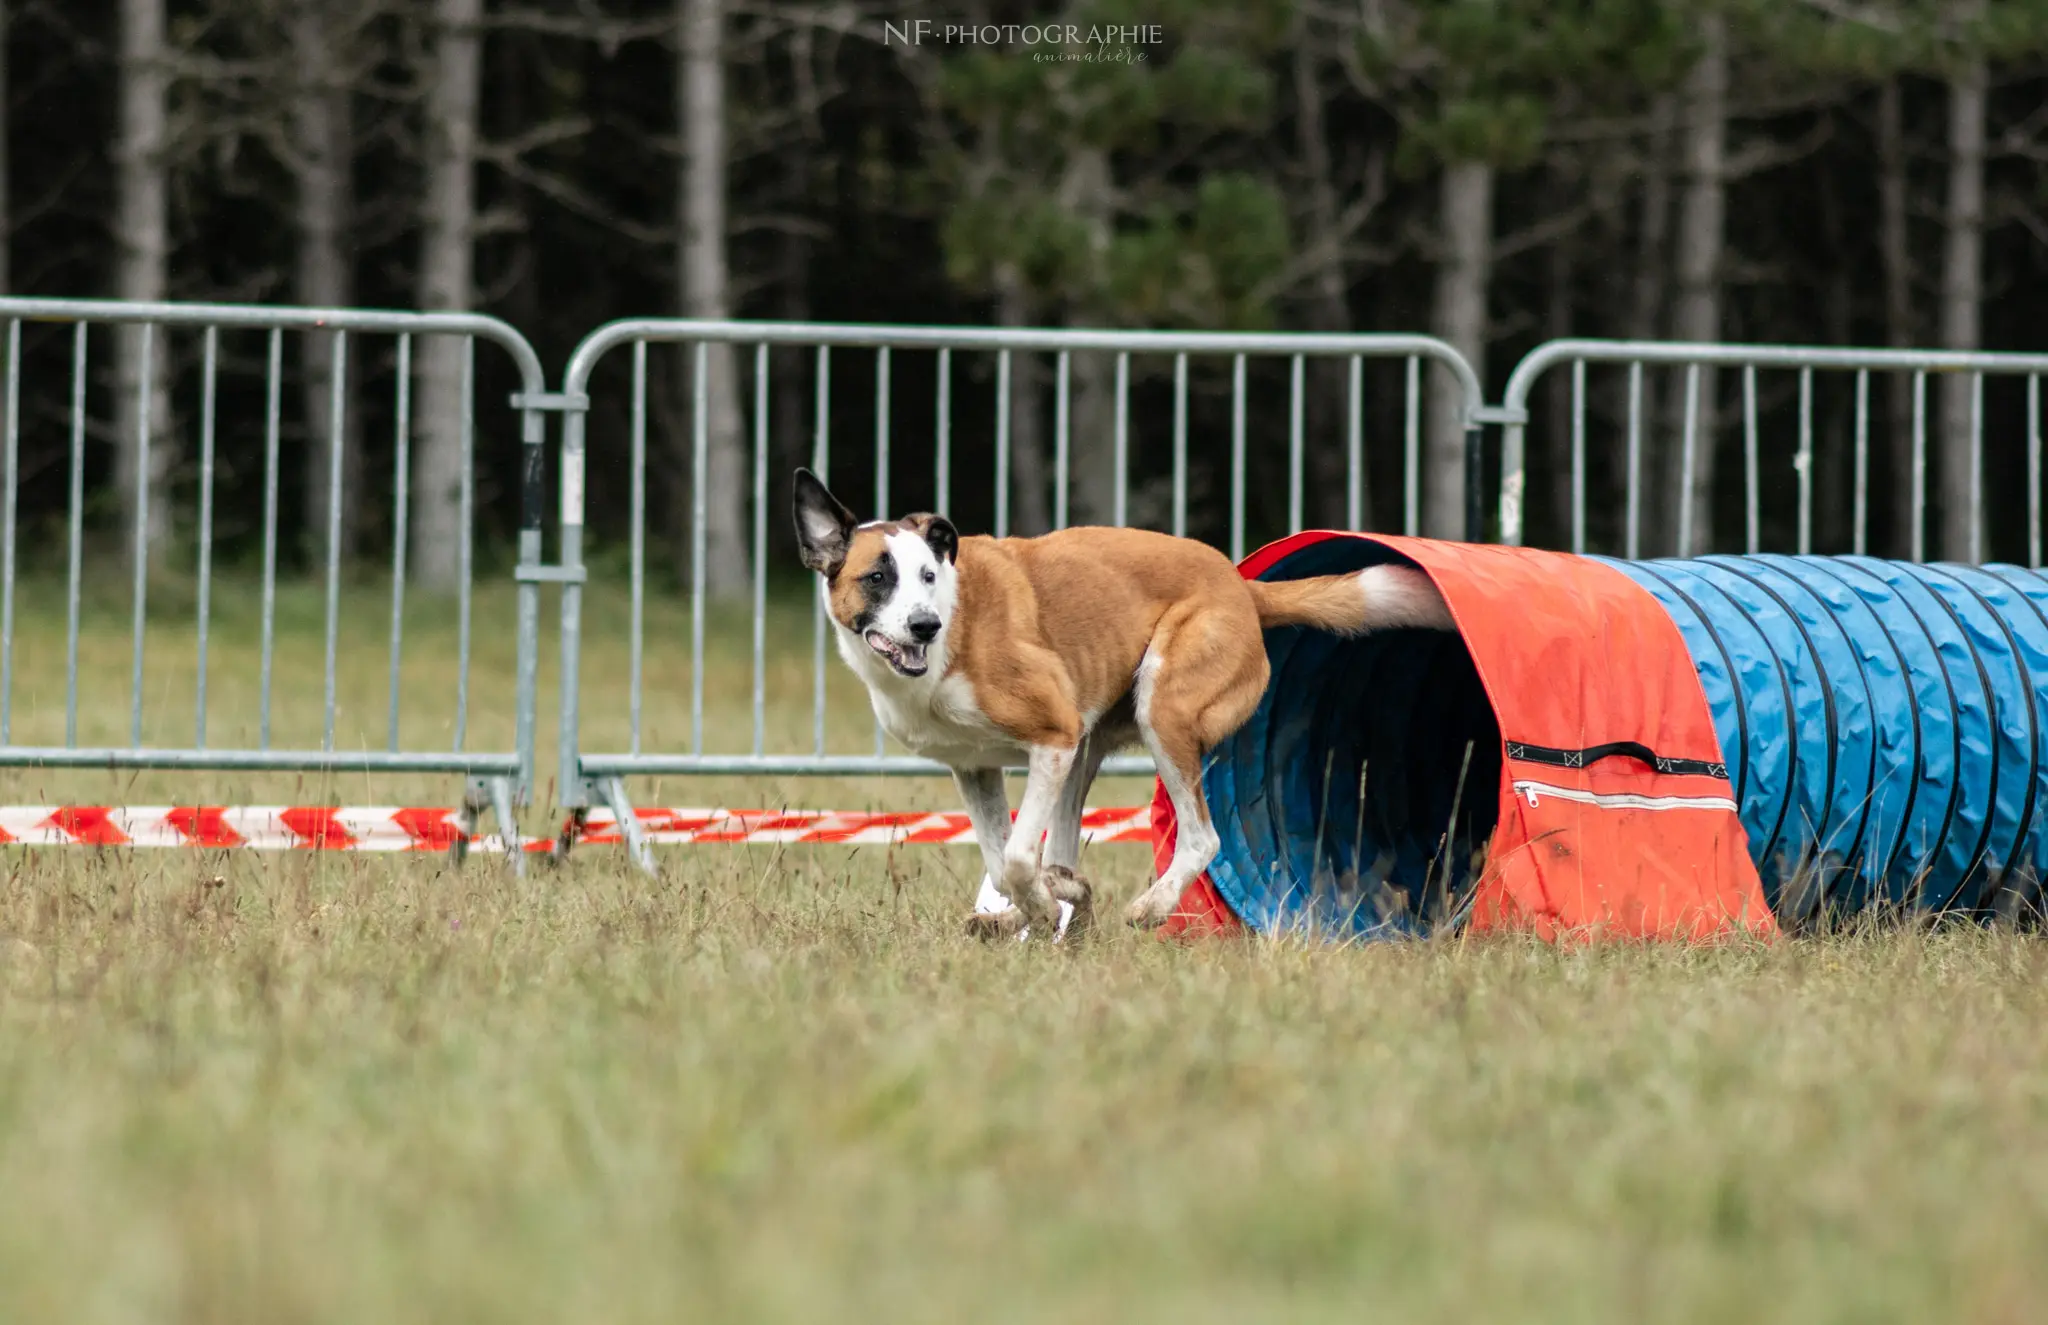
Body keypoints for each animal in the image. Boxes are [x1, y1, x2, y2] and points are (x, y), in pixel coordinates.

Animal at [786, 471, 1458, 937]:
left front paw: (1035, 906)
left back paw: (1147, 907)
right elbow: (1003, 861)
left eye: (928, 575)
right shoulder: (976, 767)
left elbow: (1016, 856)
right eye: (877, 577)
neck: (954, 627)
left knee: (1202, 838)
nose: (924, 626)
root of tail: (1240, 586)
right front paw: (1028, 909)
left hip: (1162, 711)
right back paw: (1051, 905)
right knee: (1067, 852)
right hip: (1088, 749)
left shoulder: (1052, 737)